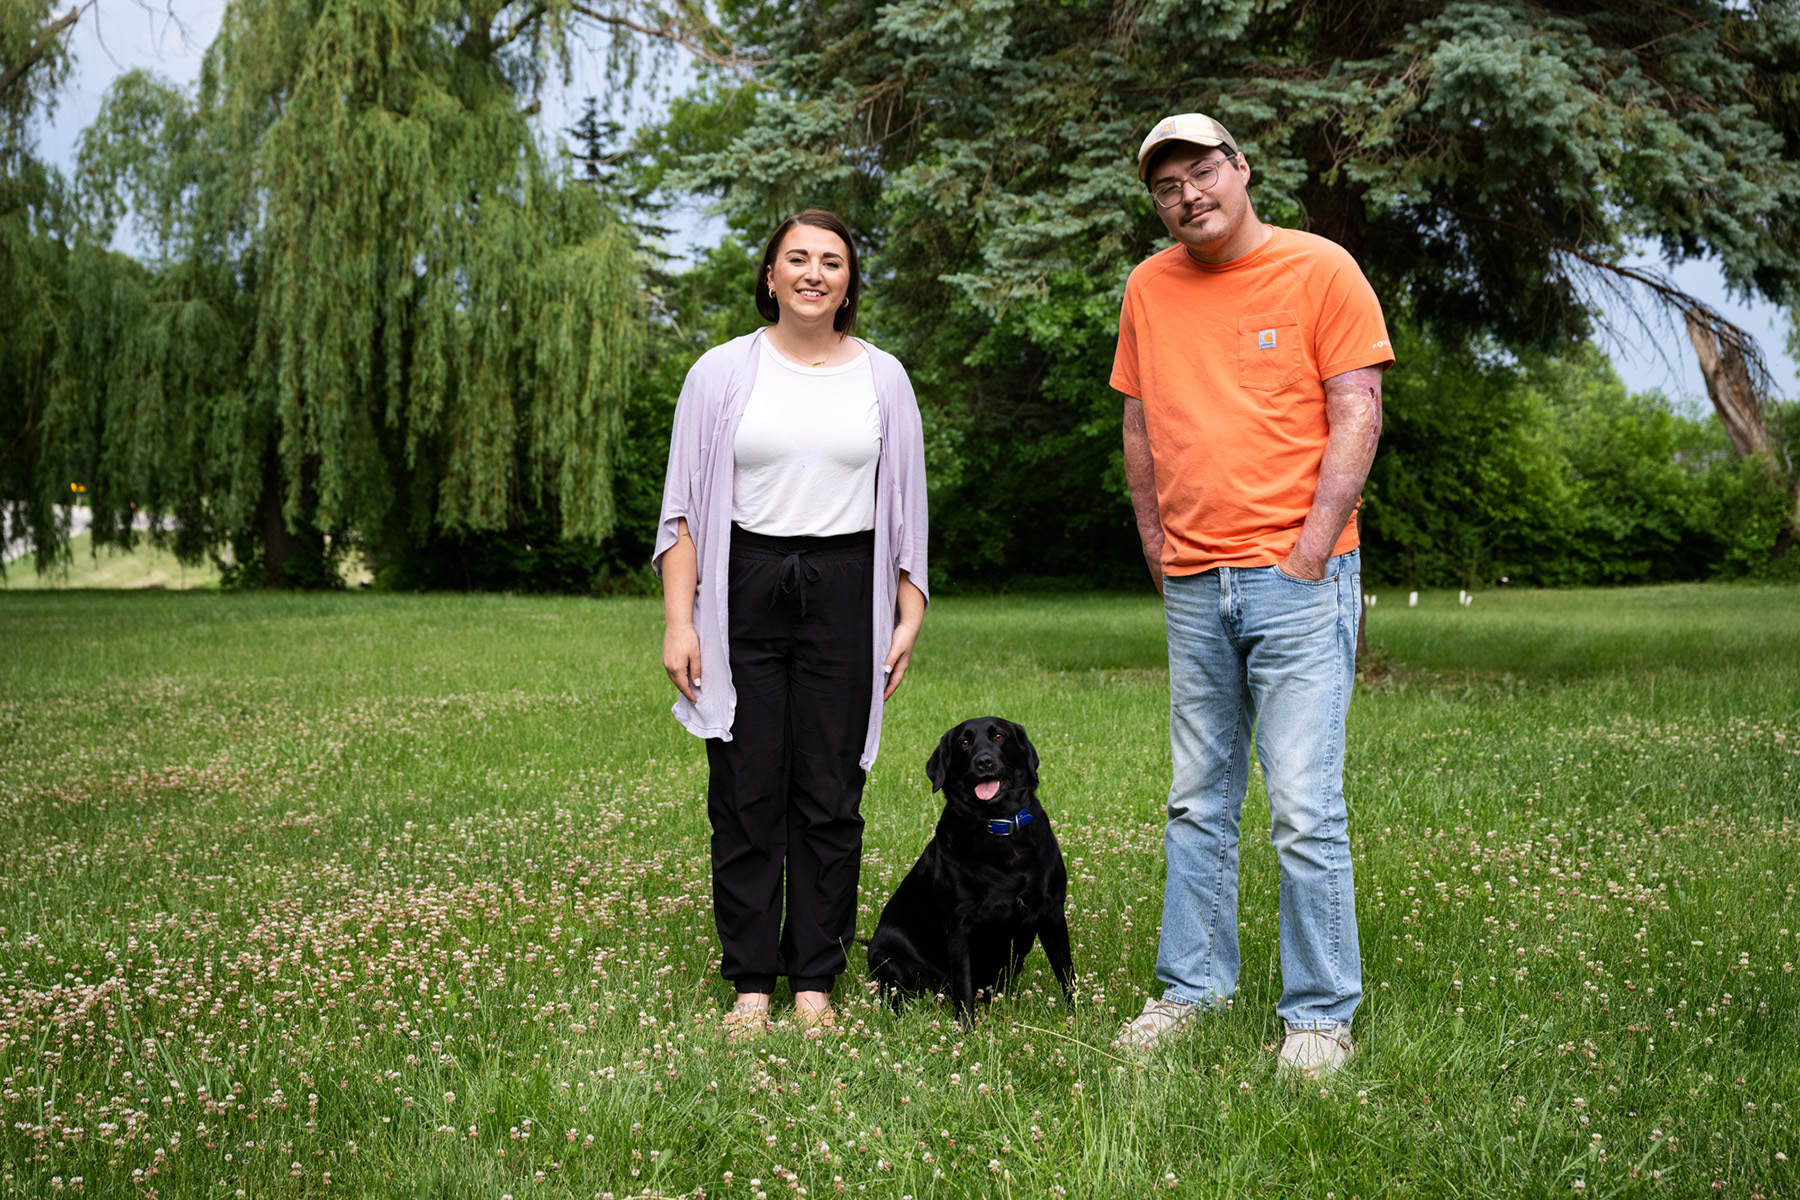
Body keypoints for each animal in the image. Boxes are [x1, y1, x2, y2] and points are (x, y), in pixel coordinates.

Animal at [867, 719, 1072, 1029]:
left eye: (999, 736)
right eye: (964, 743)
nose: (983, 762)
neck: (999, 828)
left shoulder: (1053, 912)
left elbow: (1067, 974)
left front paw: (1079, 1015)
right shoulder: (959, 924)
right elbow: (964, 987)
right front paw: (965, 1030)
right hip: (889, 960)